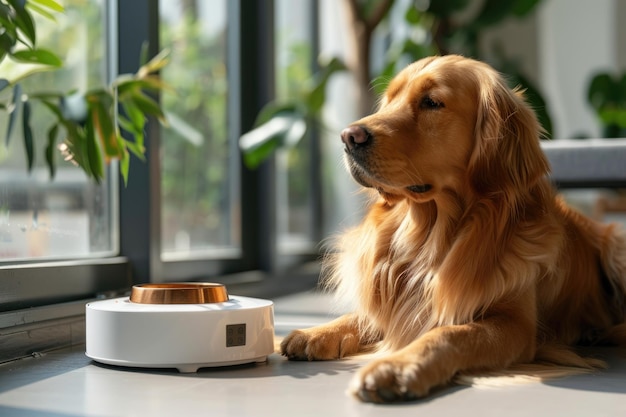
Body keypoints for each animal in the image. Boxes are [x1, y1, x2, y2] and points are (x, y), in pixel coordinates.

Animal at [280, 56, 624, 404]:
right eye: (389, 100)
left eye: (431, 103)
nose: (349, 136)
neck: (430, 237)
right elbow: (367, 316)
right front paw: (316, 332)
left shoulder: (515, 325)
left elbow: (448, 333)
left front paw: (396, 367)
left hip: (615, 246)